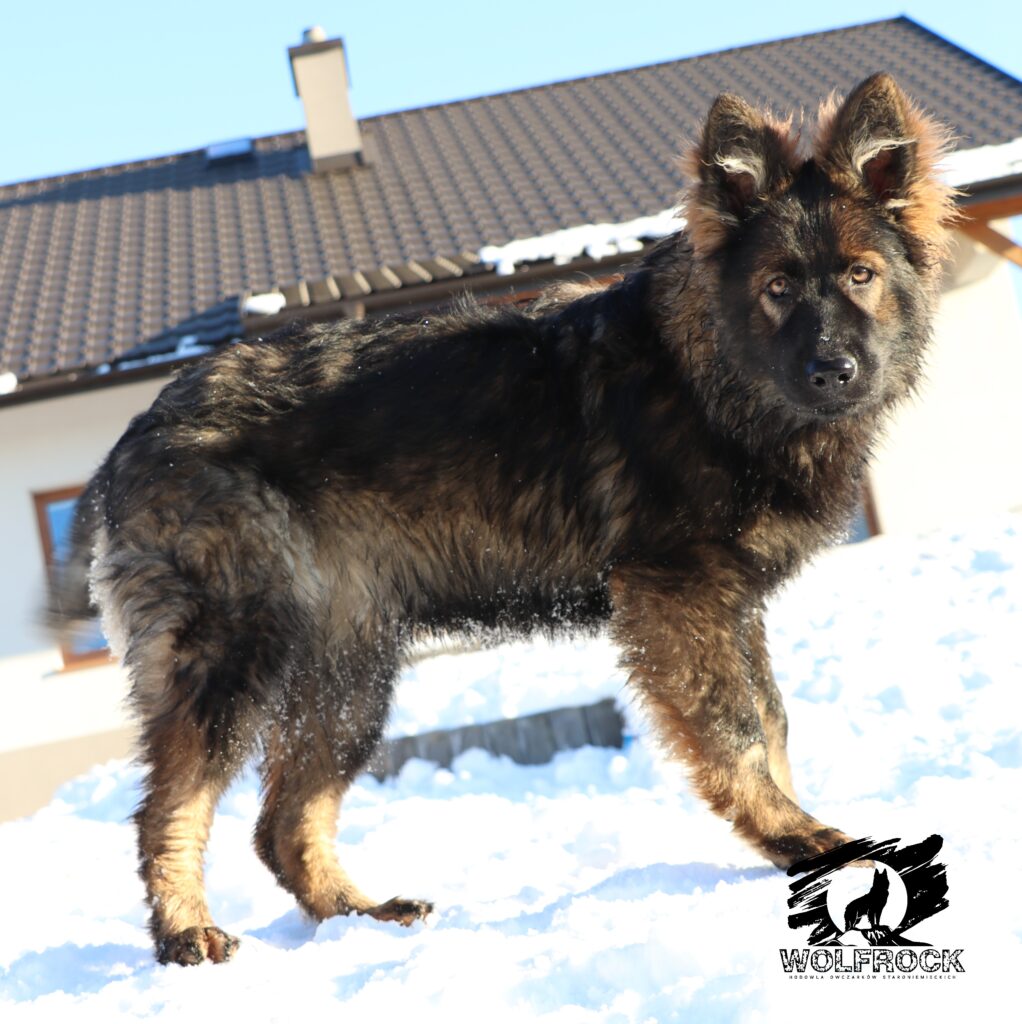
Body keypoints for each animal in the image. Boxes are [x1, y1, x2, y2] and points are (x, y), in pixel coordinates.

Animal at [53, 73, 956, 965]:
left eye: (860, 276)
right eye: (777, 288)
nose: (833, 370)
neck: (710, 381)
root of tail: (137, 433)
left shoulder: (734, 608)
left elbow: (774, 722)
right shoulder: (679, 598)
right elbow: (736, 733)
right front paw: (792, 836)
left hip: (348, 674)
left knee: (282, 824)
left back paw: (359, 916)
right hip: (237, 652)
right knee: (170, 806)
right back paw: (184, 931)